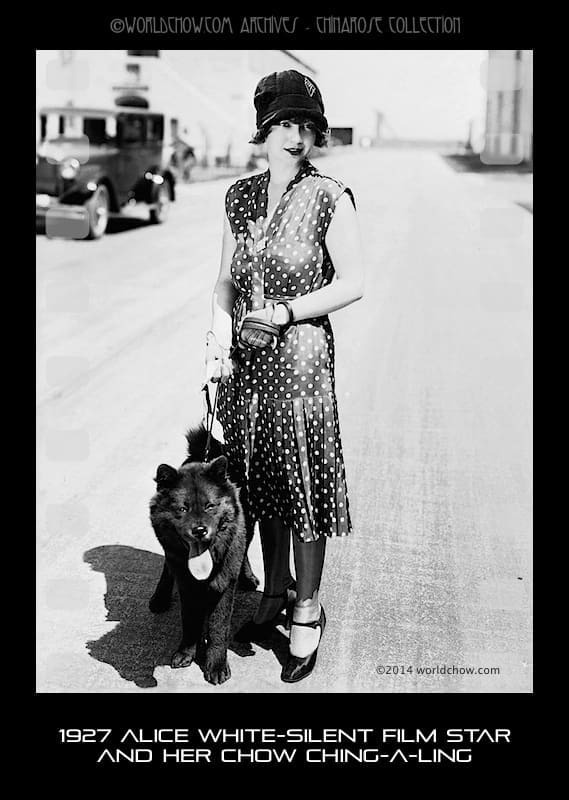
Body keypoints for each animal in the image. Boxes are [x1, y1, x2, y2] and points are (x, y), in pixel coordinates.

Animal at [150, 428, 258, 684]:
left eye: (210, 506)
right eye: (182, 508)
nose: (199, 530)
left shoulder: (224, 584)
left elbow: (219, 626)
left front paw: (216, 665)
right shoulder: (186, 584)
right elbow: (189, 619)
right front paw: (186, 652)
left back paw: (248, 578)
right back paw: (159, 598)